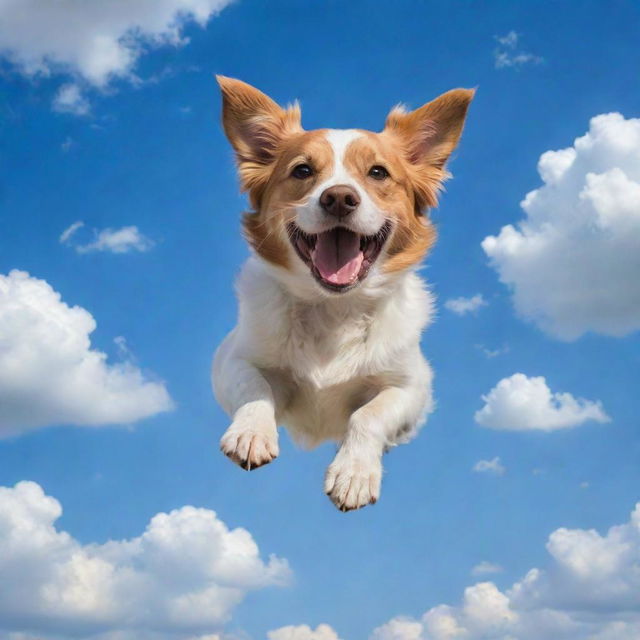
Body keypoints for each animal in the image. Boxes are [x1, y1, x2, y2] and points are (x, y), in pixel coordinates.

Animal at [212, 77, 472, 512]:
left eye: (378, 172)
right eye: (302, 170)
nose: (338, 197)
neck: (334, 309)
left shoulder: (412, 389)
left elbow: (368, 414)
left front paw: (354, 473)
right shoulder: (232, 359)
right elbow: (255, 387)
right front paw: (251, 432)